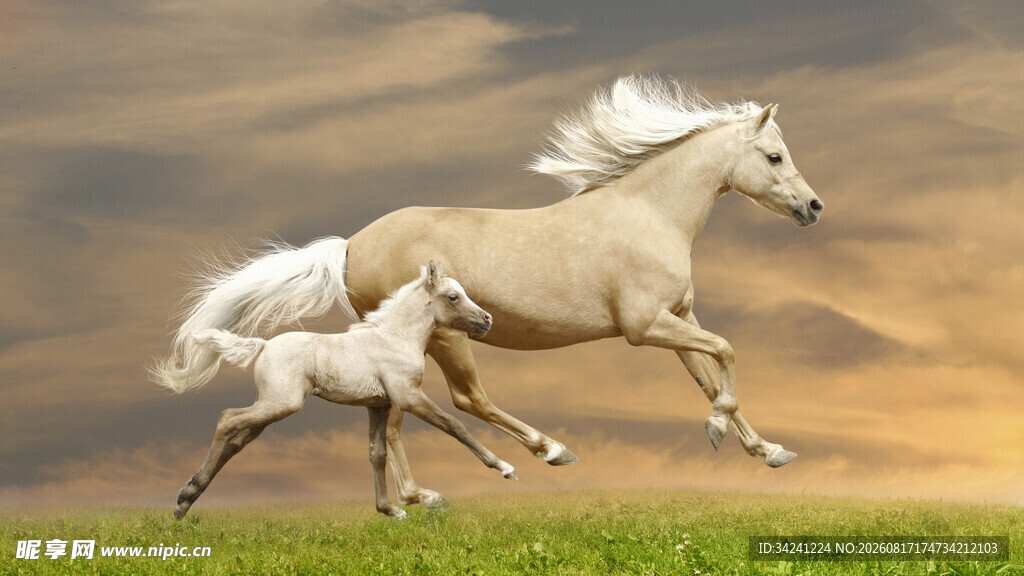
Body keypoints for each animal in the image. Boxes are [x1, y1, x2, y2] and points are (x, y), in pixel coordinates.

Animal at [171, 263, 517, 520]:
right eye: (453, 296)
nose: (487, 320)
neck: (396, 337)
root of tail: (264, 345)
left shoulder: (378, 405)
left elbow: (376, 454)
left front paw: (390, 510)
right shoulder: (408, 396)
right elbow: (454, 425)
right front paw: (504, 468)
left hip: (270, 409)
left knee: (236, 439)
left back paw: (185, 501)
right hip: (281, 403)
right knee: (228, 418)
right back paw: (185, 496)